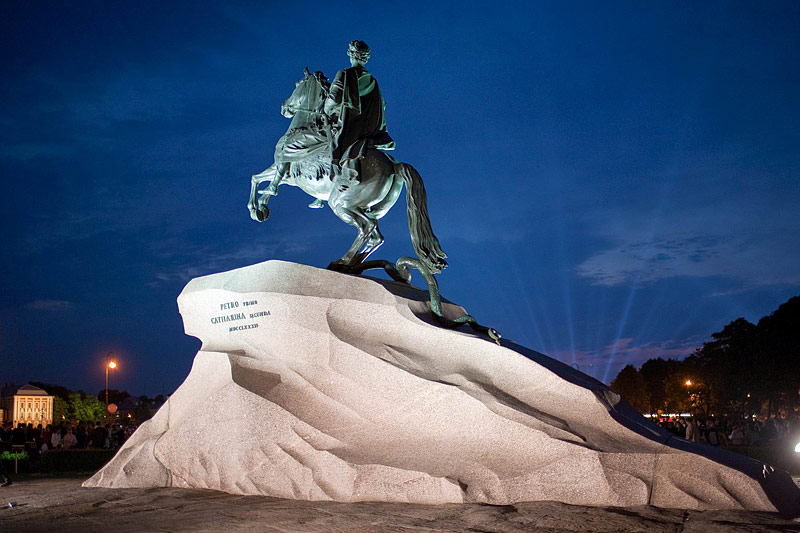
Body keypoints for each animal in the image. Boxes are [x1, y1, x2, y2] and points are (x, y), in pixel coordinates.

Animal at [247, 69, 446, 274]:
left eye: (297, 85)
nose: (284, 107)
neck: (303, 128)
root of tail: (394, 166)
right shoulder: (287, 175)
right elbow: (258, 178)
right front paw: (261, 206)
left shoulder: (283, 164)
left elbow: (261, 179)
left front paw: (258, 207)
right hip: (361, 207)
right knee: (376, 236)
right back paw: (353, 264)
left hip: (341, 203)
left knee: (367, 227)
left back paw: (343, 261)